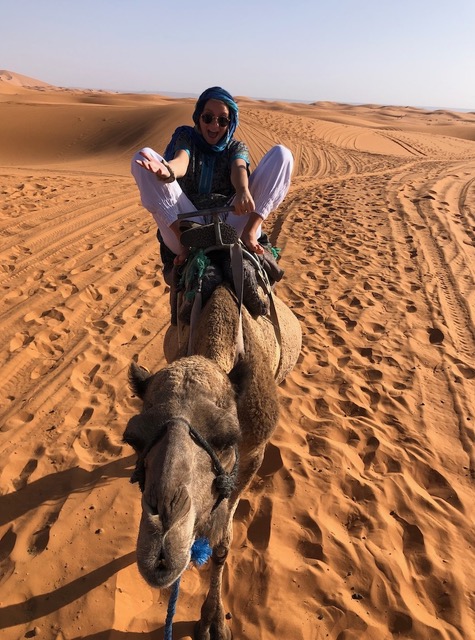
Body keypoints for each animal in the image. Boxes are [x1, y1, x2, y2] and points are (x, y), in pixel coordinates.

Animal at [122, 284, 302, 640]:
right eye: (133, 439)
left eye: (227, 439)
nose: (160, 549)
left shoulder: (251, 455)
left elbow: (222, 542)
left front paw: (212, 622)